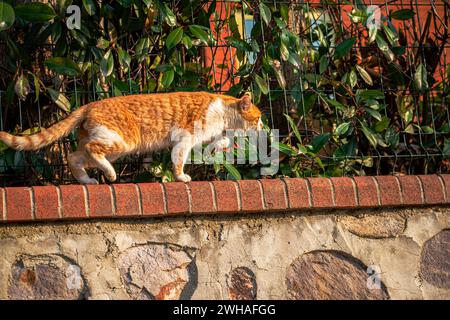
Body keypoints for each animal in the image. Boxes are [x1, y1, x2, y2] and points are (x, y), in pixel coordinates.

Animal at [0, 91, 264, 184]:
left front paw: (219, 147)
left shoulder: (208, 135)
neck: (222, 111)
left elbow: (222, 141)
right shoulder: (185, 138)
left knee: (75, 156)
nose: (263, 126)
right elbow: (178, 160)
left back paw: (87, 180)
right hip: (121, 141)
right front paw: (181, 177)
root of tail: (89, 104)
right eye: (259, 118)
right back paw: (110, 174)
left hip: (108, 144)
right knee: (91, 150)